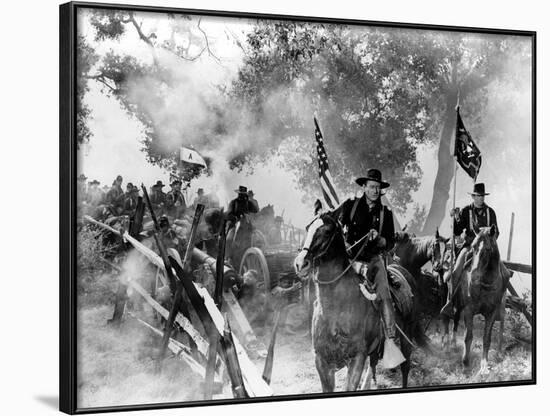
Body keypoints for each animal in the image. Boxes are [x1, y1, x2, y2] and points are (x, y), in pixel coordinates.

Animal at [296, 210, 420, 392]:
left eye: (327, 231)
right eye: (307, 227)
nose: (300, 263)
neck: (337, 309)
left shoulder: (357, 358)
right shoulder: (322, 360)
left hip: (407, 335)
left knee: (405, 367)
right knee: (373, 365)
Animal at [454, 226, 512, 372]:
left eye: (487, 249)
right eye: (473, 247)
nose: (473, 277)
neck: (485, 284)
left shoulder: (491, 313)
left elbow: (487, 338)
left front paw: (484, 365)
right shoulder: (468, 310)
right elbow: (468, 336)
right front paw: (465, 362)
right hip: (457, 304)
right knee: (454, 319)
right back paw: (450, 343)